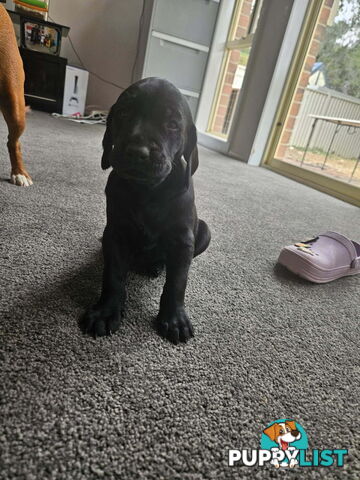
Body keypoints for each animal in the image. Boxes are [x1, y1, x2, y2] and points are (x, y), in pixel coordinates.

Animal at [81, 77, 211, 344]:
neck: (147, 191)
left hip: (204, 231)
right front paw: (106, 311)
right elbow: (113, 275)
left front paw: (175, 318)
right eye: (123, 113)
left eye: (172, 124)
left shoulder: (183, 239)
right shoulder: (115, 233)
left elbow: (177, 282)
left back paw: (156, 266)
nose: (137, 152)